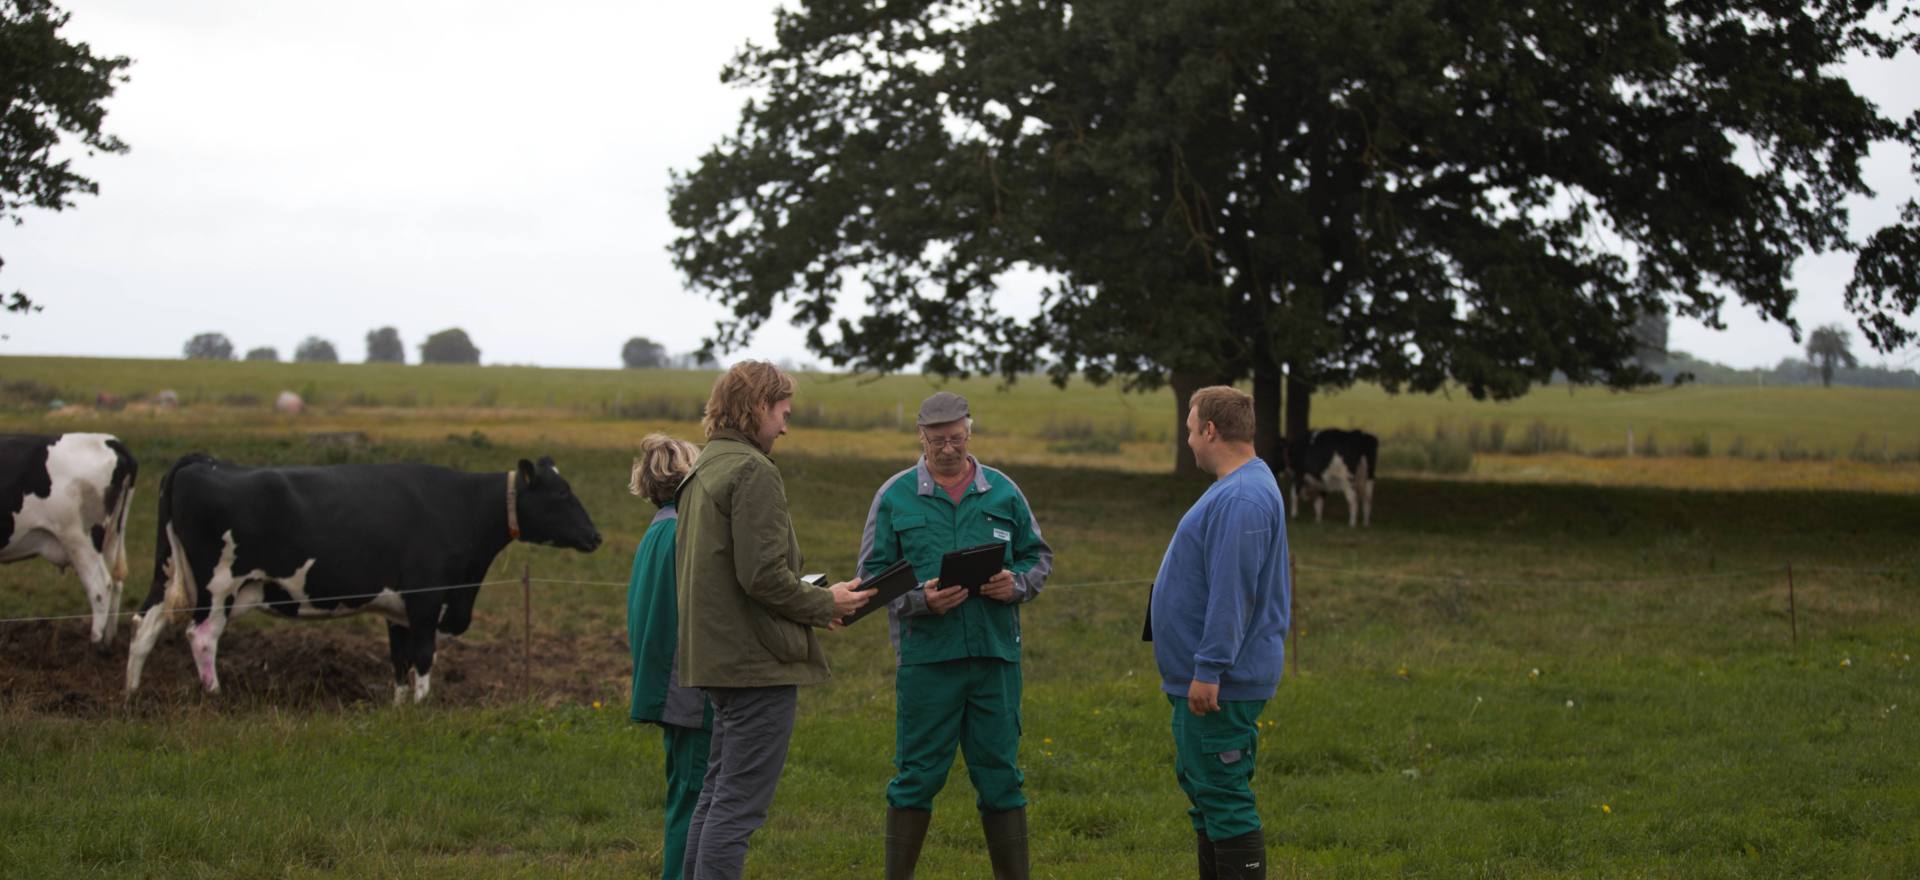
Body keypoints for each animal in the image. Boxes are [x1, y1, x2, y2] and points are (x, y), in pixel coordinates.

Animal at [0, 432, 139, 641]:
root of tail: (109, 440)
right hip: (111, 536)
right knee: (116, 584)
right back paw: (109, 640)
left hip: (80, 540)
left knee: (100, 588)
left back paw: (94, 642)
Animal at [125, 453, 599, 699]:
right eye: (561, 493)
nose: (595, 536)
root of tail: (204, 462)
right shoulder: (426, 598)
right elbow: (423, 656)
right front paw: (423, 708)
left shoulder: (398, 610)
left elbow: (399, 661)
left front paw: (401, 708)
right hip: (220, 584)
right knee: (201, 635)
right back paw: (215, 695)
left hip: (169, 571)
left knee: (144, 625)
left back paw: (131, 694)